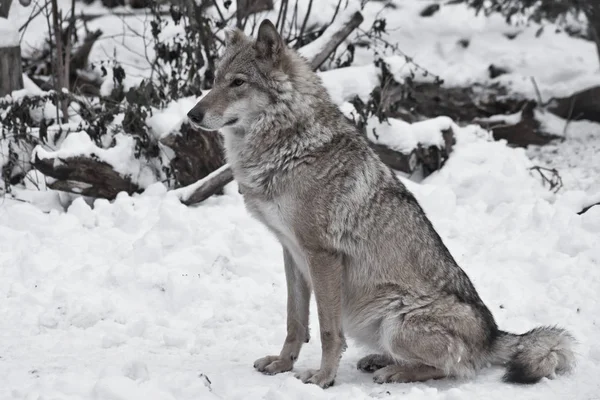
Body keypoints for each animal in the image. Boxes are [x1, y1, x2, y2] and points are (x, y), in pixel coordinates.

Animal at [188, 18, 576, 388]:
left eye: (238, 83)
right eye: (215, 81)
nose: (192, 115)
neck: (290, 146)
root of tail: (494, 336)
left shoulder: (322, 256)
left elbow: (327, 330)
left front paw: (323, 378)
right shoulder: (291, 253)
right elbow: (294, 320)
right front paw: (282, 364)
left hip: (395, 319)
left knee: (455, 368)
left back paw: (394, 372)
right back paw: (379, 361)